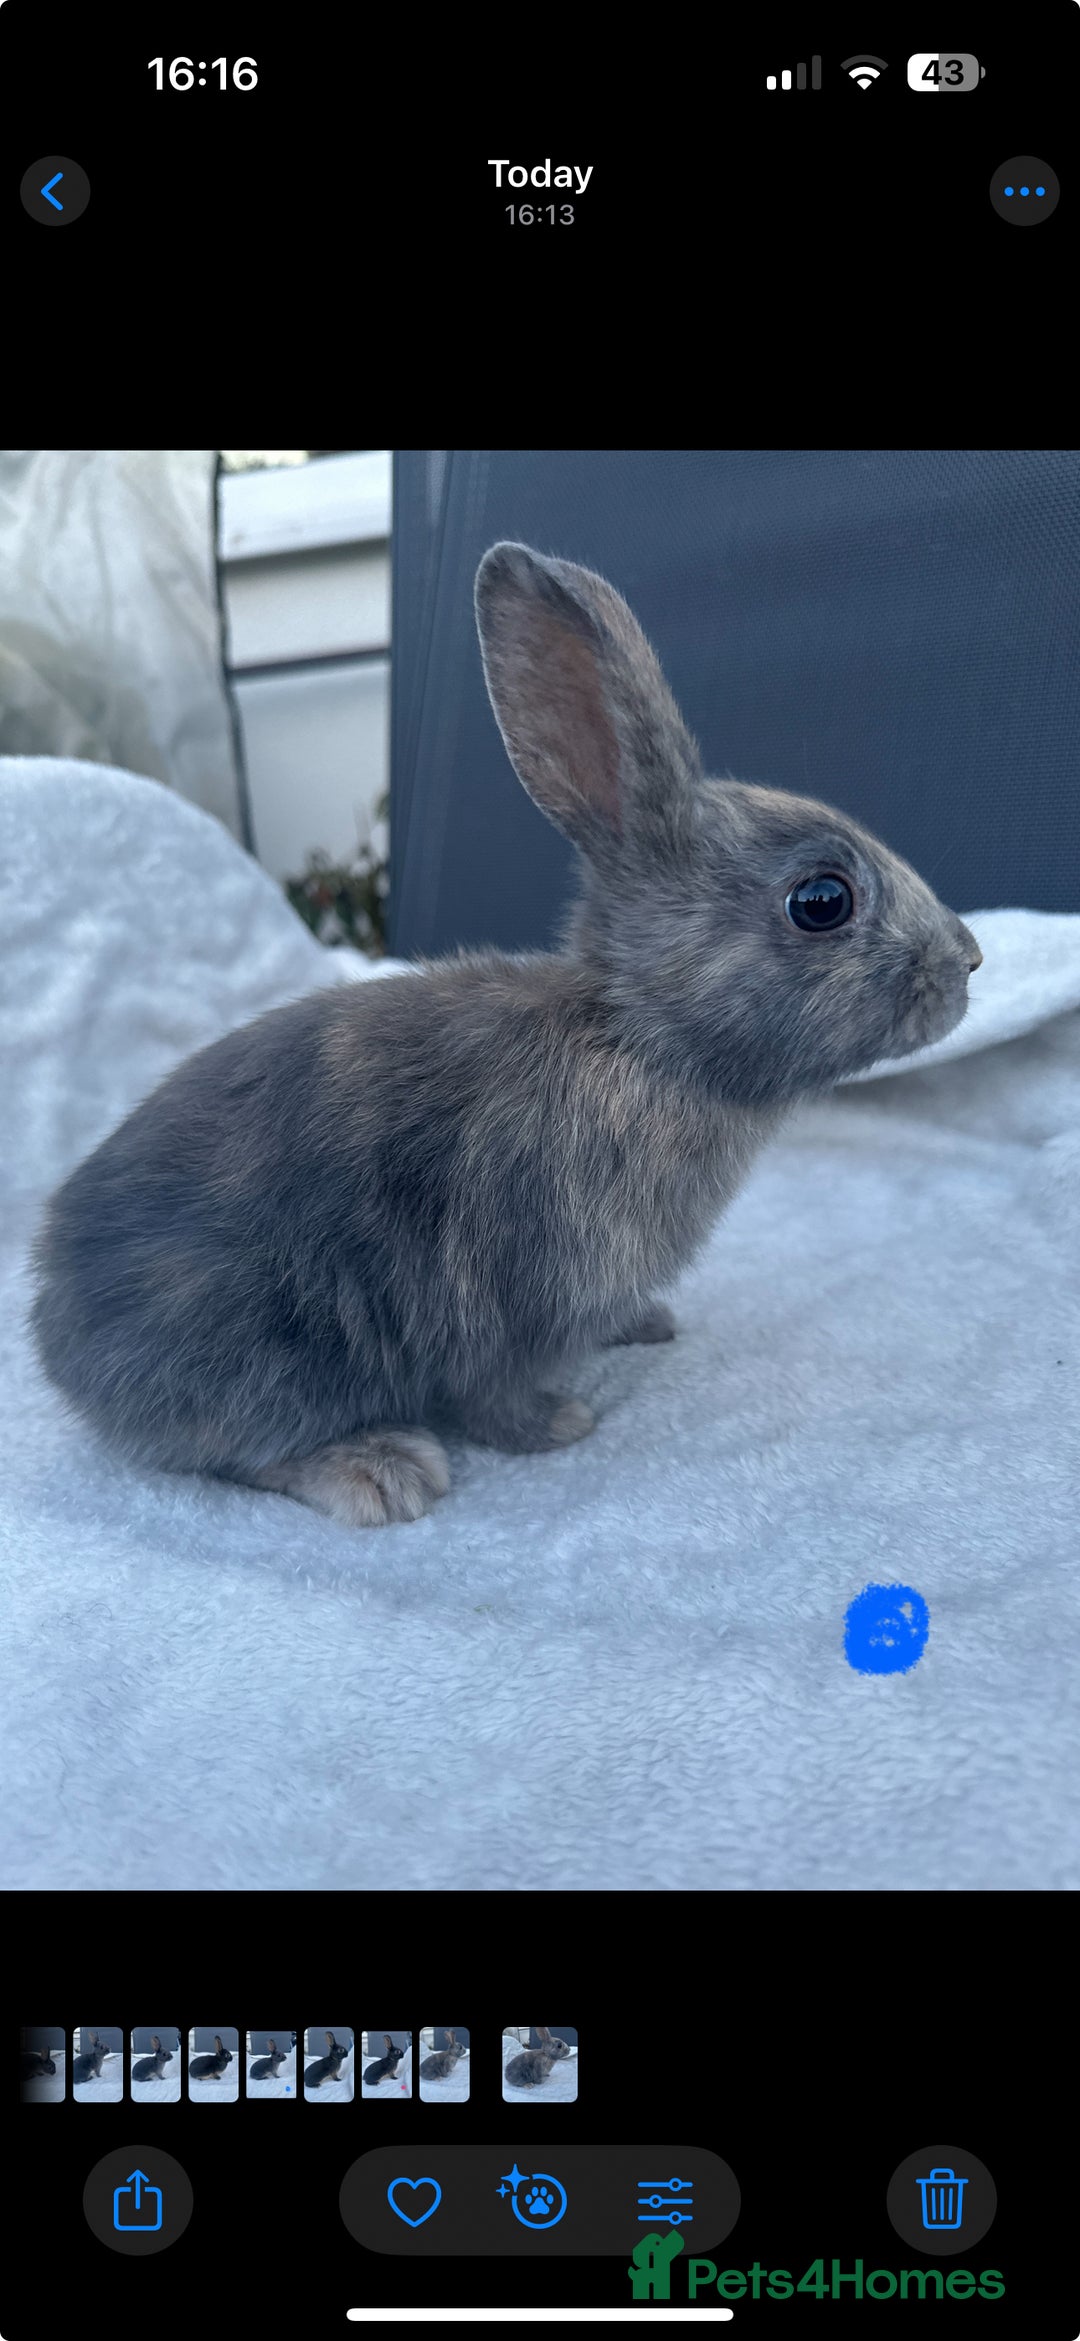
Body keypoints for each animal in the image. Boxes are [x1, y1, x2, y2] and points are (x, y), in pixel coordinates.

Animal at [28, 543, 983, 1529]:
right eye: (822, 900)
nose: (969, 961)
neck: (640, 1040)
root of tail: (57, 1335)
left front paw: (645, 1324)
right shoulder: (513, 1288)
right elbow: (493, 1393)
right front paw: (557, 1424)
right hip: (269, 1347)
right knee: (240, 1449)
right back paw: (380, 1468)